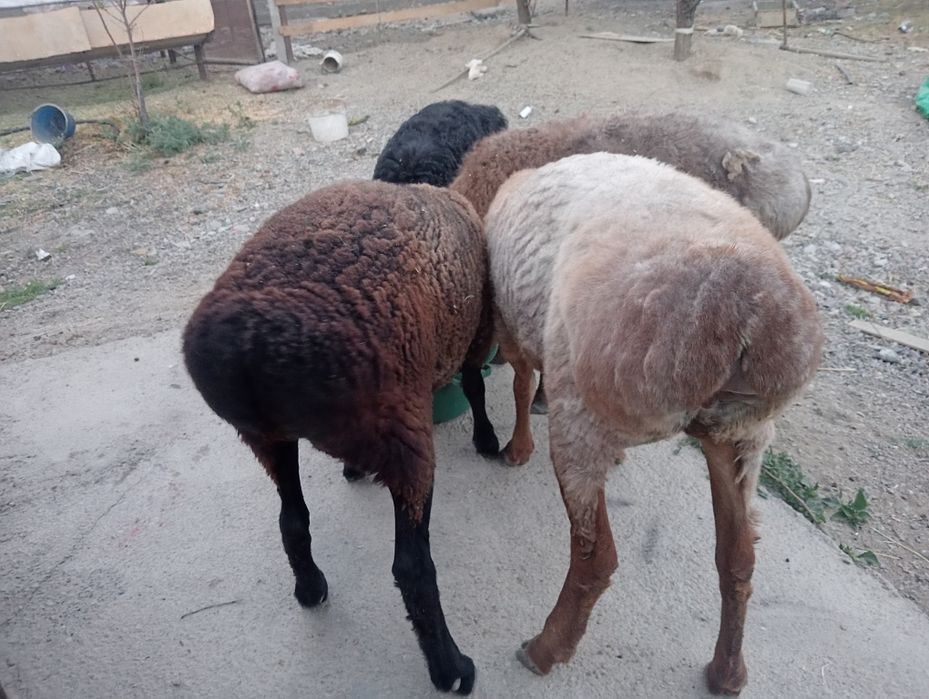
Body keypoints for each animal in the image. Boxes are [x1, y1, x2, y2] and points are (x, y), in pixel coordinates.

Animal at [182, 180, 499, 694]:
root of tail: (249, 346)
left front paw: (352, 469)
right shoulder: (476, 332)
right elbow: (475, 385)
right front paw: (488, 440)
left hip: (267, 438)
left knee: (292, 521)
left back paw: (311, 589)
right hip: (405, 440)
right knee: (412, 568)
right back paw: (451, 669)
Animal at [483, 153, 823, 694]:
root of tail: (744, 317)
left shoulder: (510, 326)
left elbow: (520, 383)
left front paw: (516, 449)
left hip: (583, 414)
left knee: (596, 558)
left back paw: (545, 649)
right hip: (741, 433)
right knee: (739, 556)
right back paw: (727, 672)